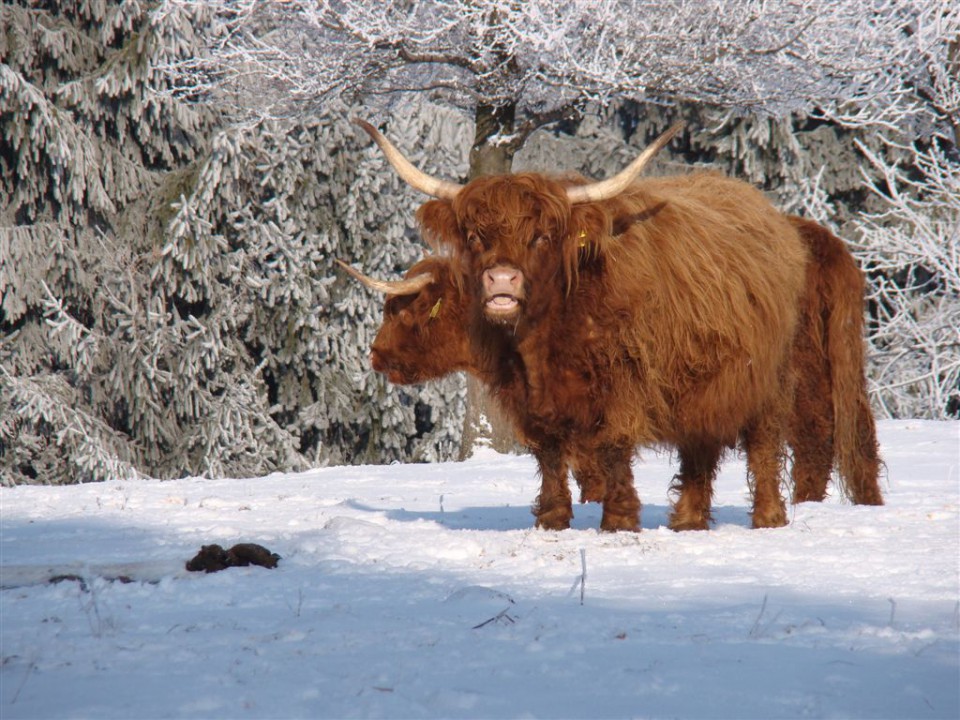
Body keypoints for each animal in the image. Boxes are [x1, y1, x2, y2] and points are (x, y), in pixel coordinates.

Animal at [352, 121, 808, 532]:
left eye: (541, 236)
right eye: (476, 236)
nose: (501, 279)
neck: (540, 345)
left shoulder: (623, 384)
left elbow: (613, 448)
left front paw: (619, 519)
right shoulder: (531, 401)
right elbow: (550, 453)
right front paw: (552, 519)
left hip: (770, 382)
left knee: (764, 447)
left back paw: (768, 517)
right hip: (703, 386)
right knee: (699, 448)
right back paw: (688, 521)